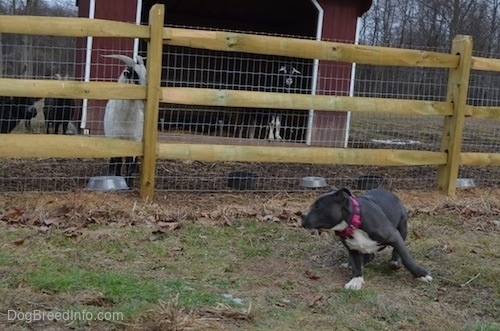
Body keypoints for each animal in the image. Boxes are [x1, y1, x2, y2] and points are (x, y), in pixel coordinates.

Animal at [101, 54, 146, 189]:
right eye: (134, 75)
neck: (125, 119)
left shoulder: (135, 140)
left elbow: (130, 164)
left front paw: (129, 184)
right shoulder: (115, 139)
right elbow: (118, 162)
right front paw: (117, 180)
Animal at [300, 189, 434, 290]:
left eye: (318, 207)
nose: (302, 216)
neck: (353, 223)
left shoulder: (394, 236)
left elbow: (406, 257)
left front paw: (421, 274)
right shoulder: (353, 248)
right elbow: (356, 264)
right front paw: (356, 280)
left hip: (402, 227)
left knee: (395, 250)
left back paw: (395, 261)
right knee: (369, 256)